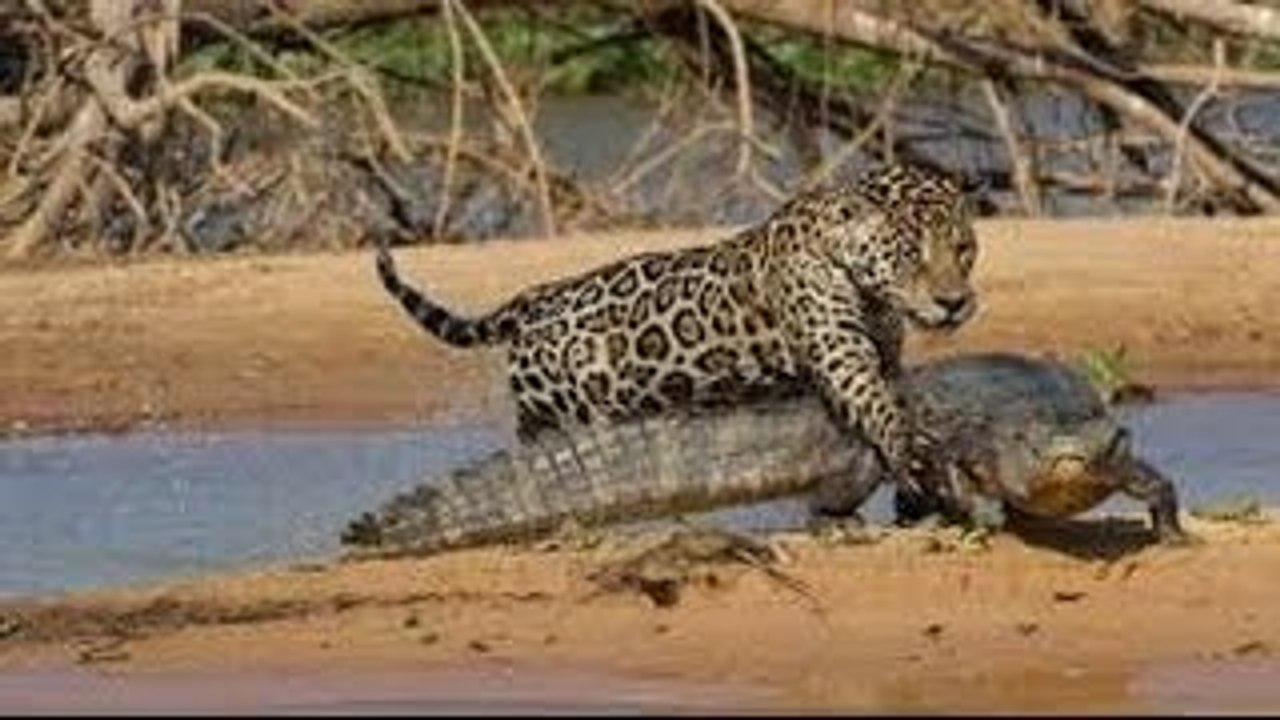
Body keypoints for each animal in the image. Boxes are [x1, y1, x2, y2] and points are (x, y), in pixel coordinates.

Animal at [376, 163, 980, 495]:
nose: (953, 304)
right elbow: (874, 399)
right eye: (910, 256)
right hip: (565, 410)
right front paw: (907, 446)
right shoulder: (839, 352)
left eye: (963, 249)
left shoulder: (884, 350)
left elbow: (892, 392)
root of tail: (531, 300)